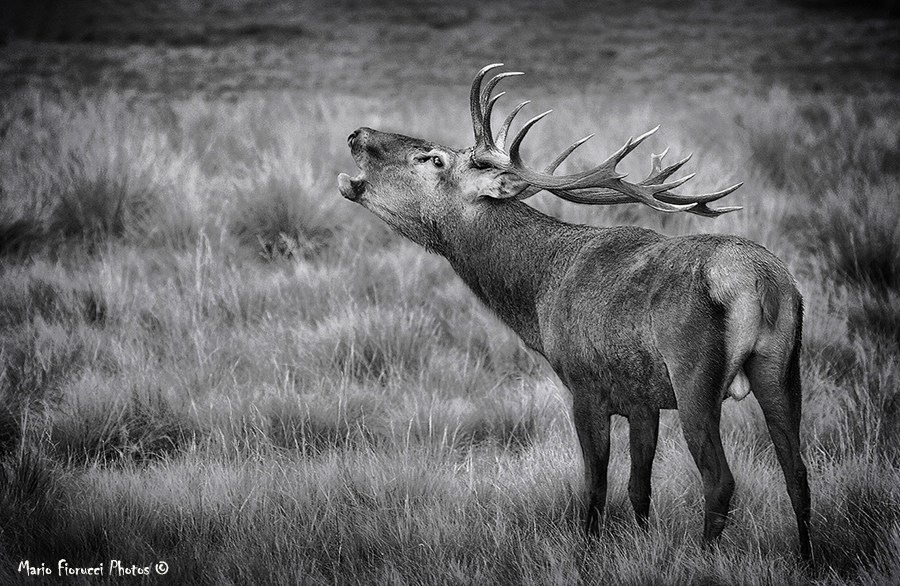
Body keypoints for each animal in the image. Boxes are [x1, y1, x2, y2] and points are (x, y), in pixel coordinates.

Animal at [340, 62, 816, 556]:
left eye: (433, 159)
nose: (357, 133)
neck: (537, 299)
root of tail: (762, 281)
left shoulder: (586, 386)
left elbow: (594, 489)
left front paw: (586, 553)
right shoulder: (641, 399)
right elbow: (639, 489)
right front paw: (640, 545)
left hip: (694, 376)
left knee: (720, 481)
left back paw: (705, 558)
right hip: (782, 368)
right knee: (798, 473)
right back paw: (807, 559)